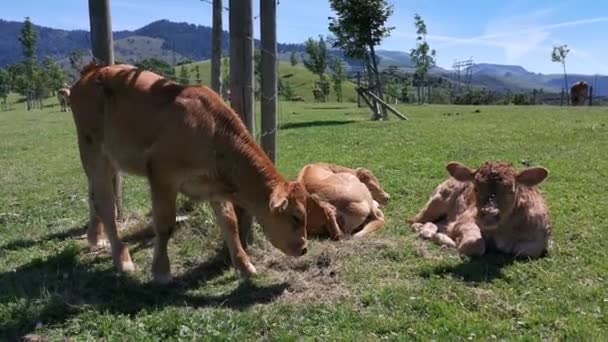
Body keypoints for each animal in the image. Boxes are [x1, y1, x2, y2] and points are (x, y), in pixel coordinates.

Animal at [408, 162, 552, 258]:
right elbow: (473, 245)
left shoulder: (543, 236)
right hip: (437, 201)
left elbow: (523, 250)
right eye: (476, 188)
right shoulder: (466, 218)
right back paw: (428, 232)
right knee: (414, 221)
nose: (489, 214)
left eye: (511, 190)